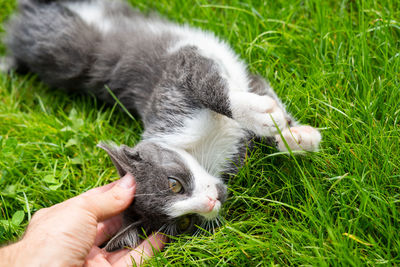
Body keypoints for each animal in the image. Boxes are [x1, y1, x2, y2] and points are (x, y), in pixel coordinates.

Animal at [1, 0, 322, 252]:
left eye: (173, 183)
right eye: (185, 223)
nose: (210, 201)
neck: (201, 149)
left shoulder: (179, 72)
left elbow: (218, 87)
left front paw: (291, 133)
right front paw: (287, 132)